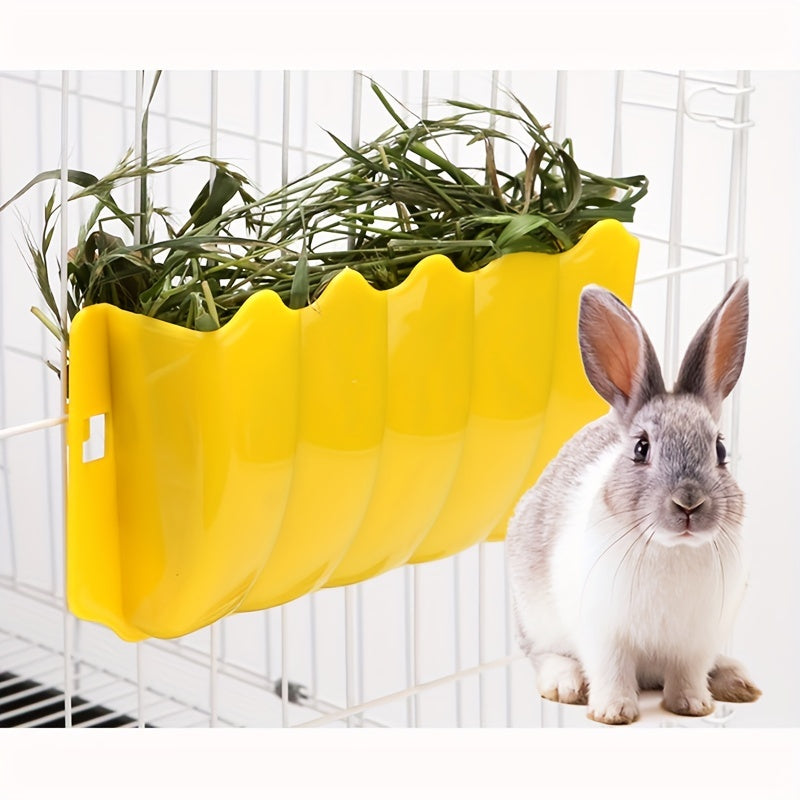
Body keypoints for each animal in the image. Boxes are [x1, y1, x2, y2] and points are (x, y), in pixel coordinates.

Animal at [506, 278, 761, 725]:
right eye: (641, 448)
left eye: (720, 450)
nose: (689, 504)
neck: (671, 549)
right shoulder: (604, 635)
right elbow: (611, 671)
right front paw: (613, 712)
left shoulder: (697, 640)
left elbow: (688, 673)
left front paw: (693, 705)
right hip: (535, 617)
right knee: (543, 654)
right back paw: (565, 683)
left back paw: (736, 681)